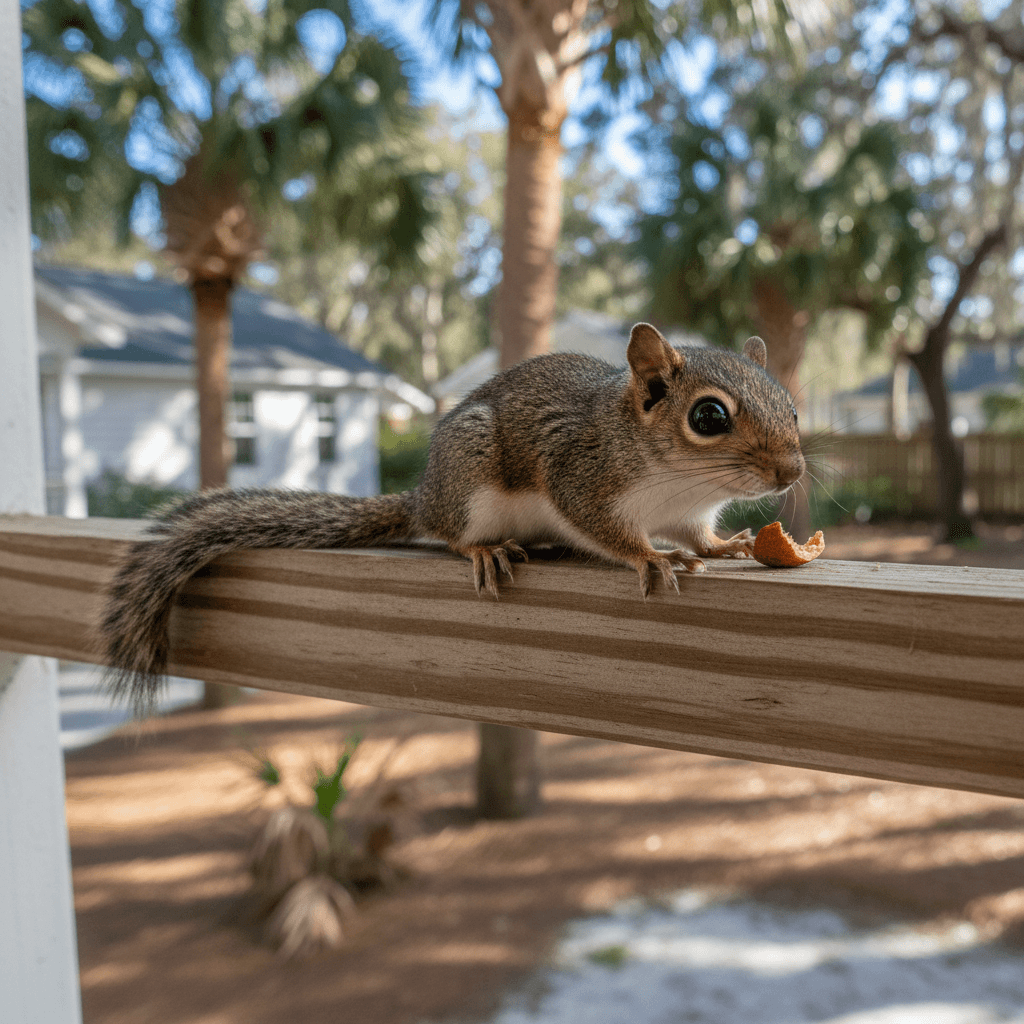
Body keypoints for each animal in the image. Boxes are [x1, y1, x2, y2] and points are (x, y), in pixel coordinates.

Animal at [100, 322, 804, 712]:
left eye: (792, 406)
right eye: (708, 416)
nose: (792, 472)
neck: (675, 481)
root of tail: (424, 494)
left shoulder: (688, 512)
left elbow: (699, 536)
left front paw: (725, 546)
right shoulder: (581, 475)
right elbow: (606, 529)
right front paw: (650, 555)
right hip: (469, 483)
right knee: (448, 534)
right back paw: (484, 549)